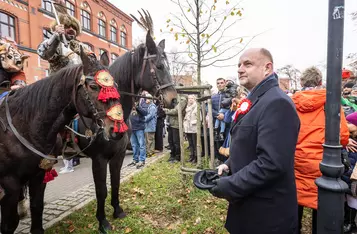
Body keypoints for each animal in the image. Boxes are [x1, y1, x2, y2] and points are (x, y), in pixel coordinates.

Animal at [0, 48, 124, 233]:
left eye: (115, 87)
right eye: (93, 86)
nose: (117, 130)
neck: (23, 126)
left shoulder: (38, 175)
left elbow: (37, 207)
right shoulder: (9, 184)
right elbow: (9, 223)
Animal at [71, 31, 177, 234]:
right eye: (159, 66)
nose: (174, 100)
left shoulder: (118, 155)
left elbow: (116, 182)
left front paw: (117, 210)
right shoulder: (99, 159)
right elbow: (101, 190)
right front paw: (102, 221)